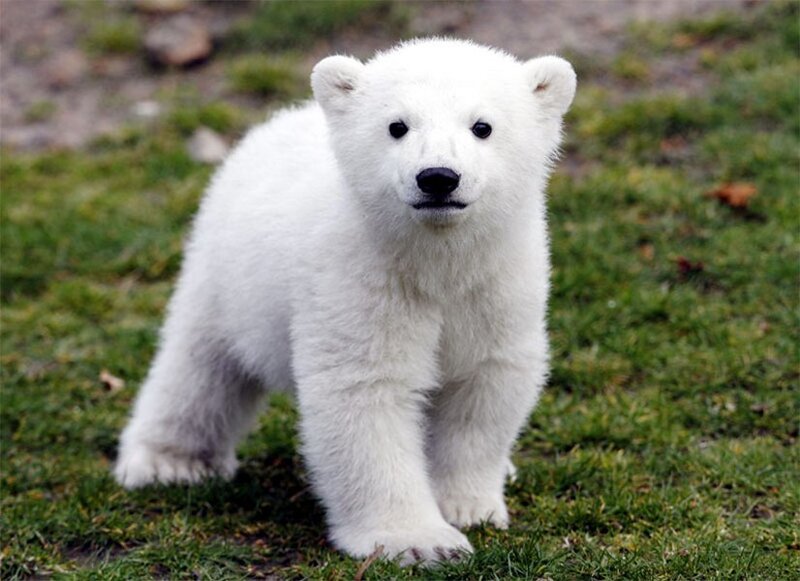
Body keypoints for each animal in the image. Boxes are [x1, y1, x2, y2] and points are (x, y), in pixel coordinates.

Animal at [114, 38, 576, 565]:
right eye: (397, 125)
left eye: (483, 126)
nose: (438, 177)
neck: (435, 261)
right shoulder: (361, 277)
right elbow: (366, 390)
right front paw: (419, 541)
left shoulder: (495, 284)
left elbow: (484, 384)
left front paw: (468, 507)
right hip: (225, 274)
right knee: (201, 367)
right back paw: (169, 462)